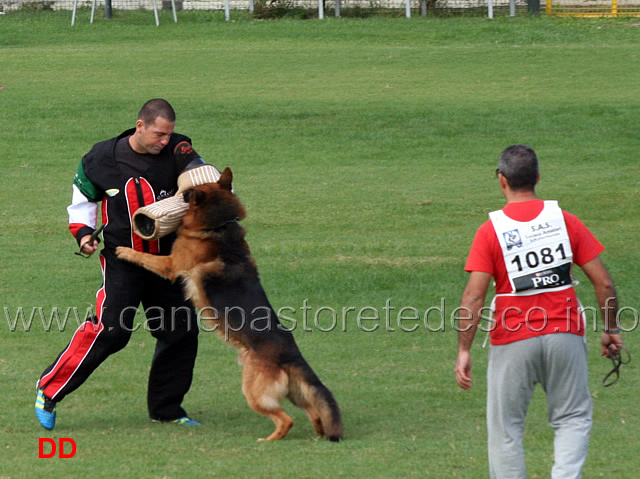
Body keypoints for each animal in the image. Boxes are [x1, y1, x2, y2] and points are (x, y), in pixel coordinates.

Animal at [115, 169, 344, 442]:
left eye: (187, 193)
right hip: (293, 393)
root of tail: (291, 355)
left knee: (286, 419)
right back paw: (318, 433)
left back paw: (269, 440)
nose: (177, 192)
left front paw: (125, 251)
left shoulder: (171, 264)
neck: (220, 226)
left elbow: (146, 257)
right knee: (312, 410)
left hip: (255, 393)